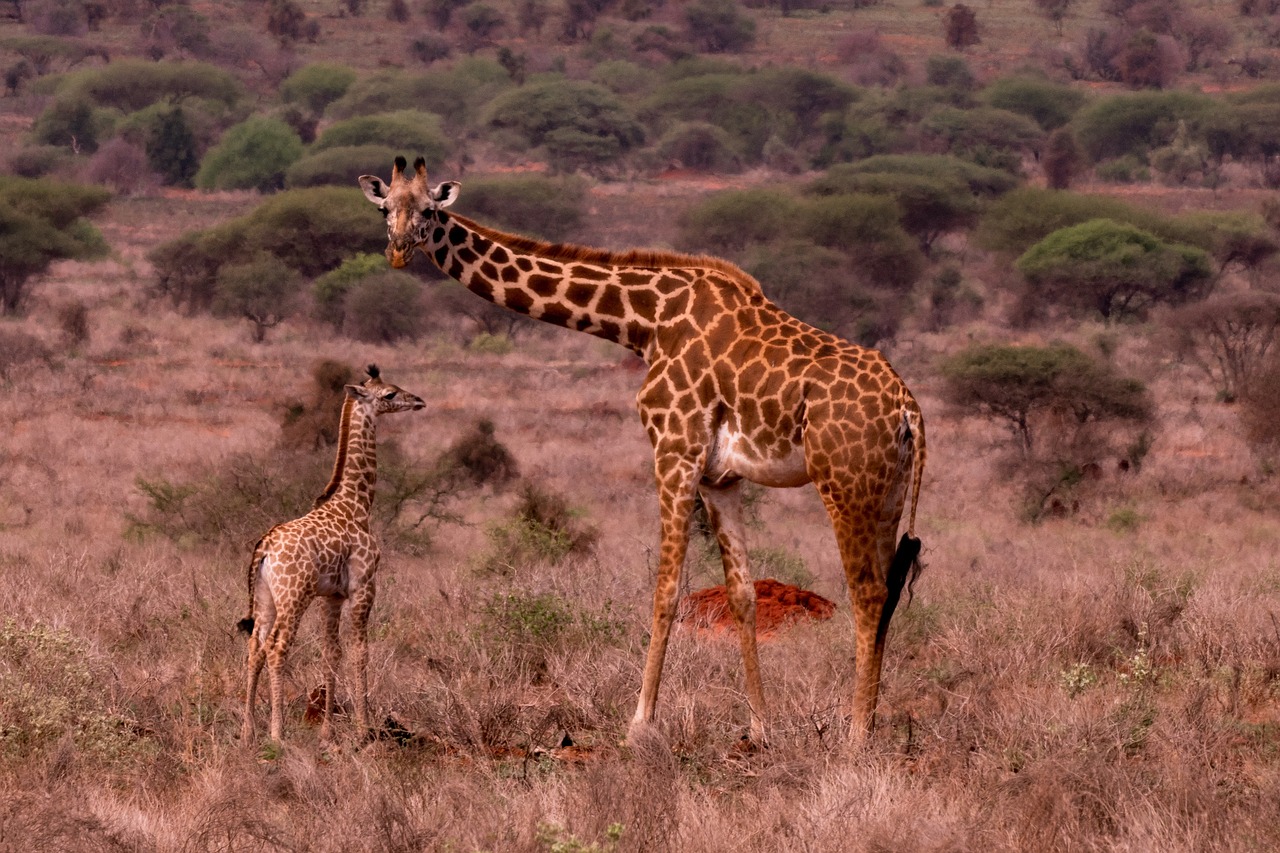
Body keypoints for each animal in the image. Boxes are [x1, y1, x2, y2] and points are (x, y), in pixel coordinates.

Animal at [235, 361, 424, 742]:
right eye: (390, 394)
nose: (418, 401)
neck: (357, 502)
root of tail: (265, 547)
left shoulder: (332, 596)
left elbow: (330, 653)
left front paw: (326, 731)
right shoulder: (363, 586)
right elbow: (359, 651)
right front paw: (363, 729)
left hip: (265, 597)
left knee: (255, 648)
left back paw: (248, 730)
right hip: (294, 596)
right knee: (276, 647)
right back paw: (277, 732)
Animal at [355, 157, 926, 742]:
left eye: (428, 210)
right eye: (384, 209)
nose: (398, 250)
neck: (646, 321)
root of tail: (907, 407)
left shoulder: (673, 450)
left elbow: (666, 588)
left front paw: (639, 723)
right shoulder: (720, 476)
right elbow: (741, 593)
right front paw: (760, 726)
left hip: (844, 482)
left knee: (868, 593)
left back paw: (857, 735)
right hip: (886, 491)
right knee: (885, 592)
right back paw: (868, 722)